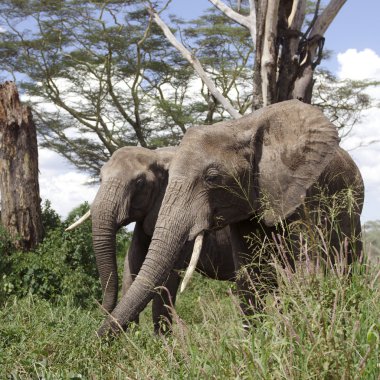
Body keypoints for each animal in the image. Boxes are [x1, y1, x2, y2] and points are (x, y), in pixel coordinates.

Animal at [68, 145, 235, 332]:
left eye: (140, 183)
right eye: (100, 178)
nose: (100, 310)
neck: (157, 155)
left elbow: (166, 277)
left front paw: (161, 338)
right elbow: (131, 263)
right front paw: (131, 335)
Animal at [98, 99, 366, 336]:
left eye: (212, 178)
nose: (96, 341)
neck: (240, 126)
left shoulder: (304, 191)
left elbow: (307, 265)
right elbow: (248, 273)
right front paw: (259, 342)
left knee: (349, 262)